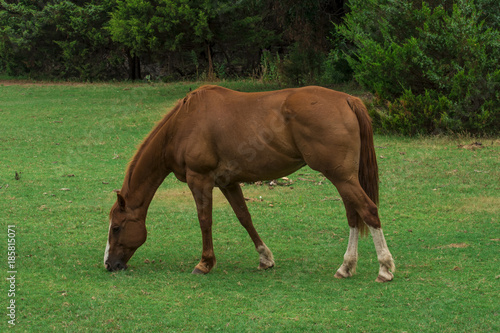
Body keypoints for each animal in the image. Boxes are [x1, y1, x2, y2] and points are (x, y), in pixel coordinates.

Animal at [103, 85, 396, 280]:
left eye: (117, 227)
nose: (109, 264)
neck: (183, 124)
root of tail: (347, 99)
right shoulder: (227, 182)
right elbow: (244, 217)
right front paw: (265, 258)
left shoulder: (200, 180)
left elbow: (204, 220)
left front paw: (205, 263)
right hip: (344, 178)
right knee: (354, 216)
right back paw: (346, 267)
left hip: (342, 178)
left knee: (368, 211)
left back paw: (384, 268)